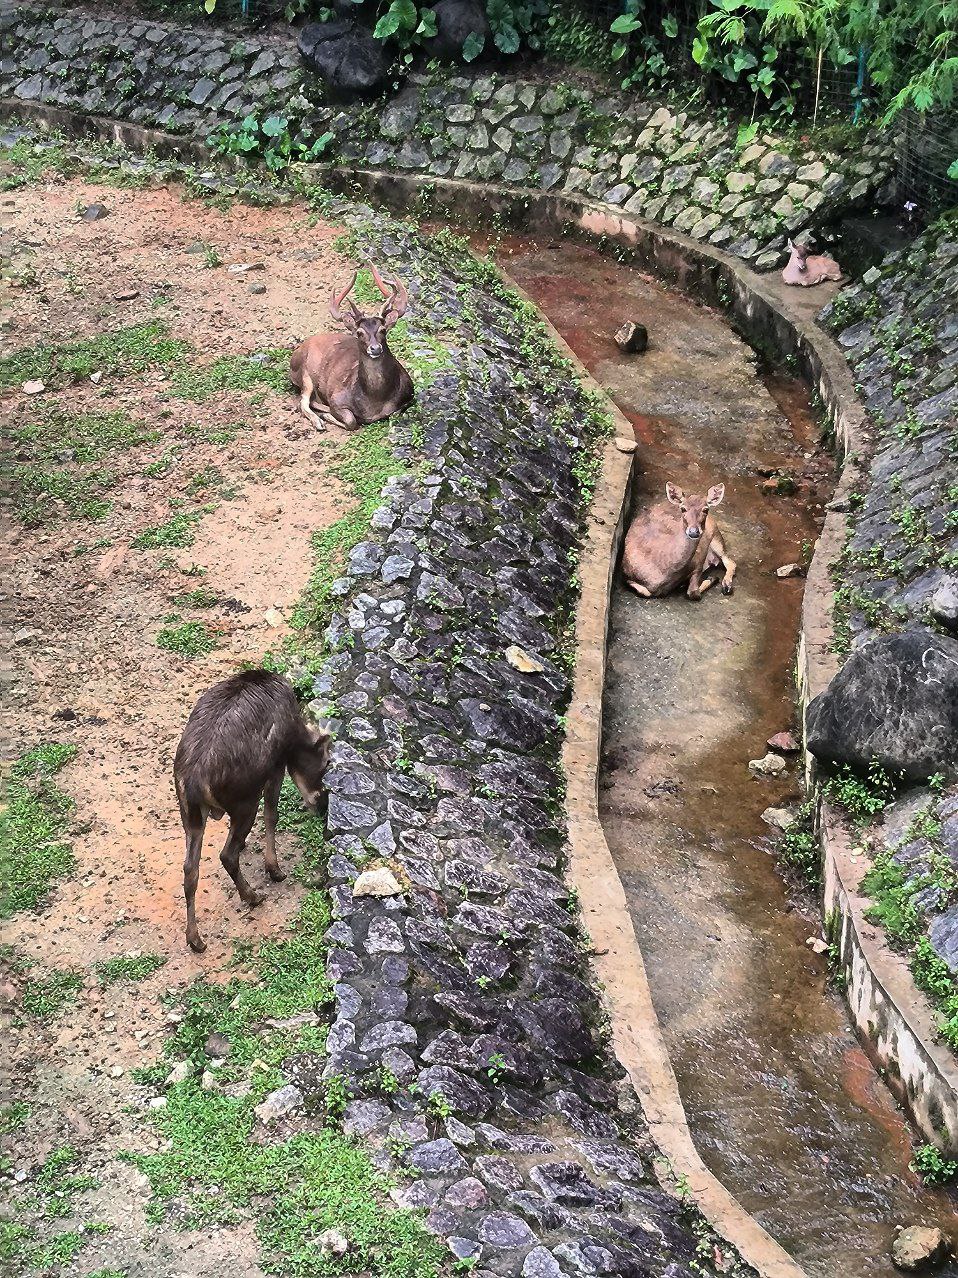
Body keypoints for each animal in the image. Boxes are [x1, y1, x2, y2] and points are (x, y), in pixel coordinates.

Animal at [173, 669, 331, 953]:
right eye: (326, 762)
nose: (322, 803)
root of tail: (193, 782)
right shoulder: (277, 765)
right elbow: (272, 815)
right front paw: (275, 869)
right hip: (244, 800)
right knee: (226, 855)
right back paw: (253, 896)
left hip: (189, 813)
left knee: (190, 868)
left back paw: (195, 940)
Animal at [289, 262, 414, 431]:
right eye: (360, 332)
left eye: (383, 330)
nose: (375, 348)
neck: (375, 401)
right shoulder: (337, 398)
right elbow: (351, 421)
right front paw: (328, 415)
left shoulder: (409, 396)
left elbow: (394, 414)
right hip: (304, 373)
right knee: (303, 402)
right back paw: (319, 421)